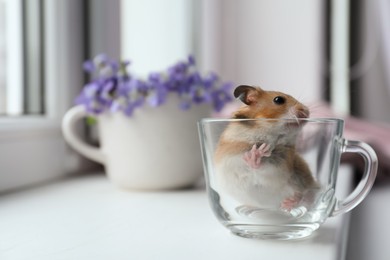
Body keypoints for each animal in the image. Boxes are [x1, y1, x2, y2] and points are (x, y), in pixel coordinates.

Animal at [213, 84, 320, 212]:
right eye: (278, 100)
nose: (307, 111)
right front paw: (256, 152)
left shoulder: (280, 166)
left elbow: (263, 168)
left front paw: (258, 152)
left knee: (306, 195)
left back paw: (289, 203)